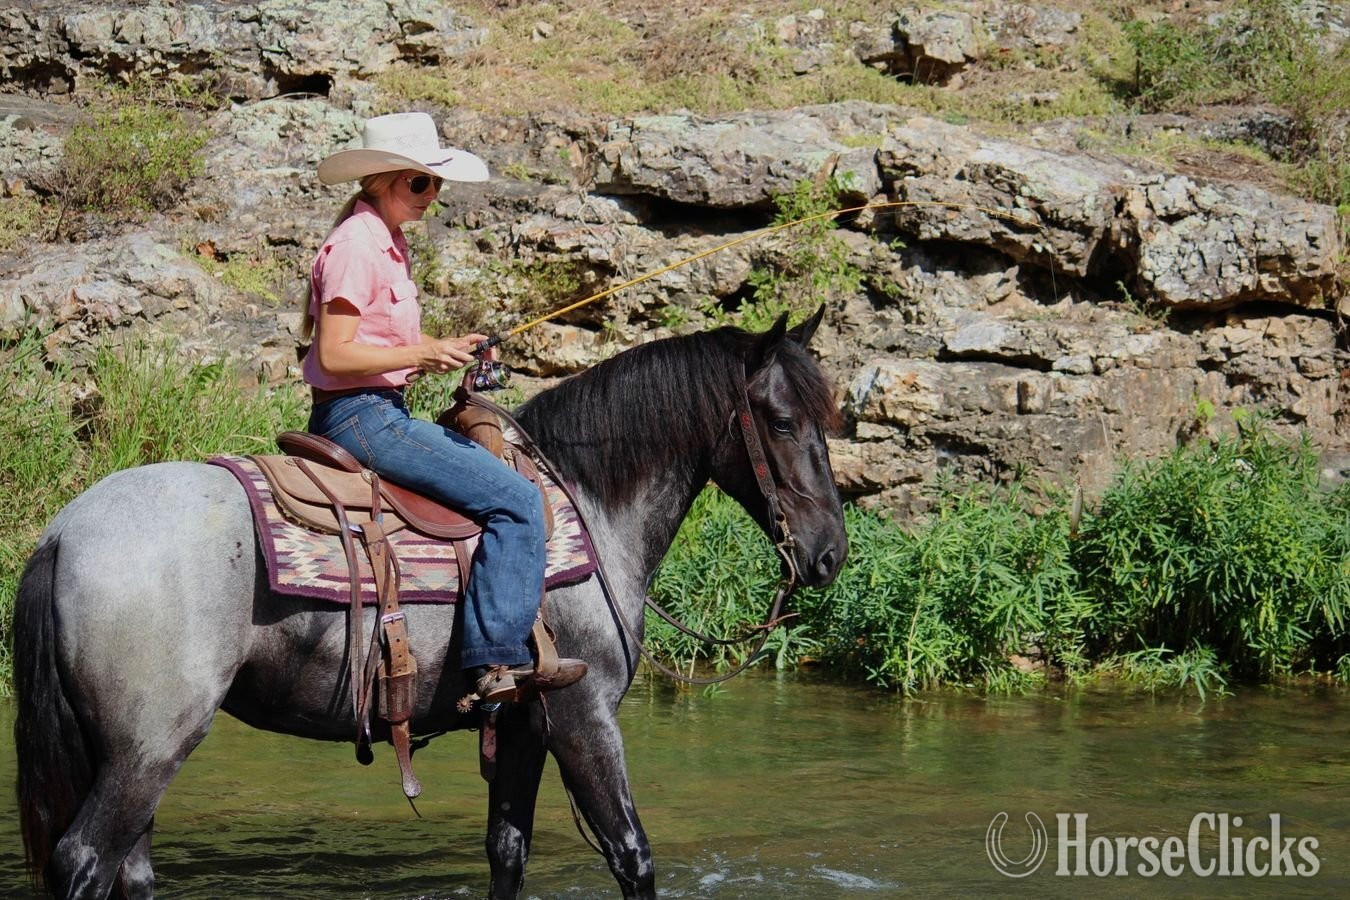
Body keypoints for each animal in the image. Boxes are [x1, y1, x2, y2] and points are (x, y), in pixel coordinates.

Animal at [13, 308, 848, 899]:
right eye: (781, 421)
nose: (830, 553)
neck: (586, 504)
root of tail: (64, 531)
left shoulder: (523, 724)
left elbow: (507, 854)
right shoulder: (585, 714)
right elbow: (632, 856)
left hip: (123, 749)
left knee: (128, 869)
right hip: (150, 745)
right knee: (85, 860)